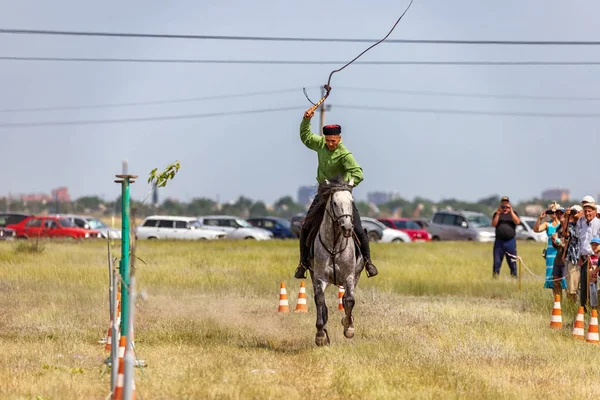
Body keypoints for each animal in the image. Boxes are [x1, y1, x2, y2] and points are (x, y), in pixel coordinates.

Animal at [308, 179, 364, 346]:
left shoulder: (349, 277)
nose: (347, 228)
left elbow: (349, 300)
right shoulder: (319, 278)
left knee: (346, 299)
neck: (334, 245)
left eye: (351, 202)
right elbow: (320, 301)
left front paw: (349, 327)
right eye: (334, 202)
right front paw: (321, 335)